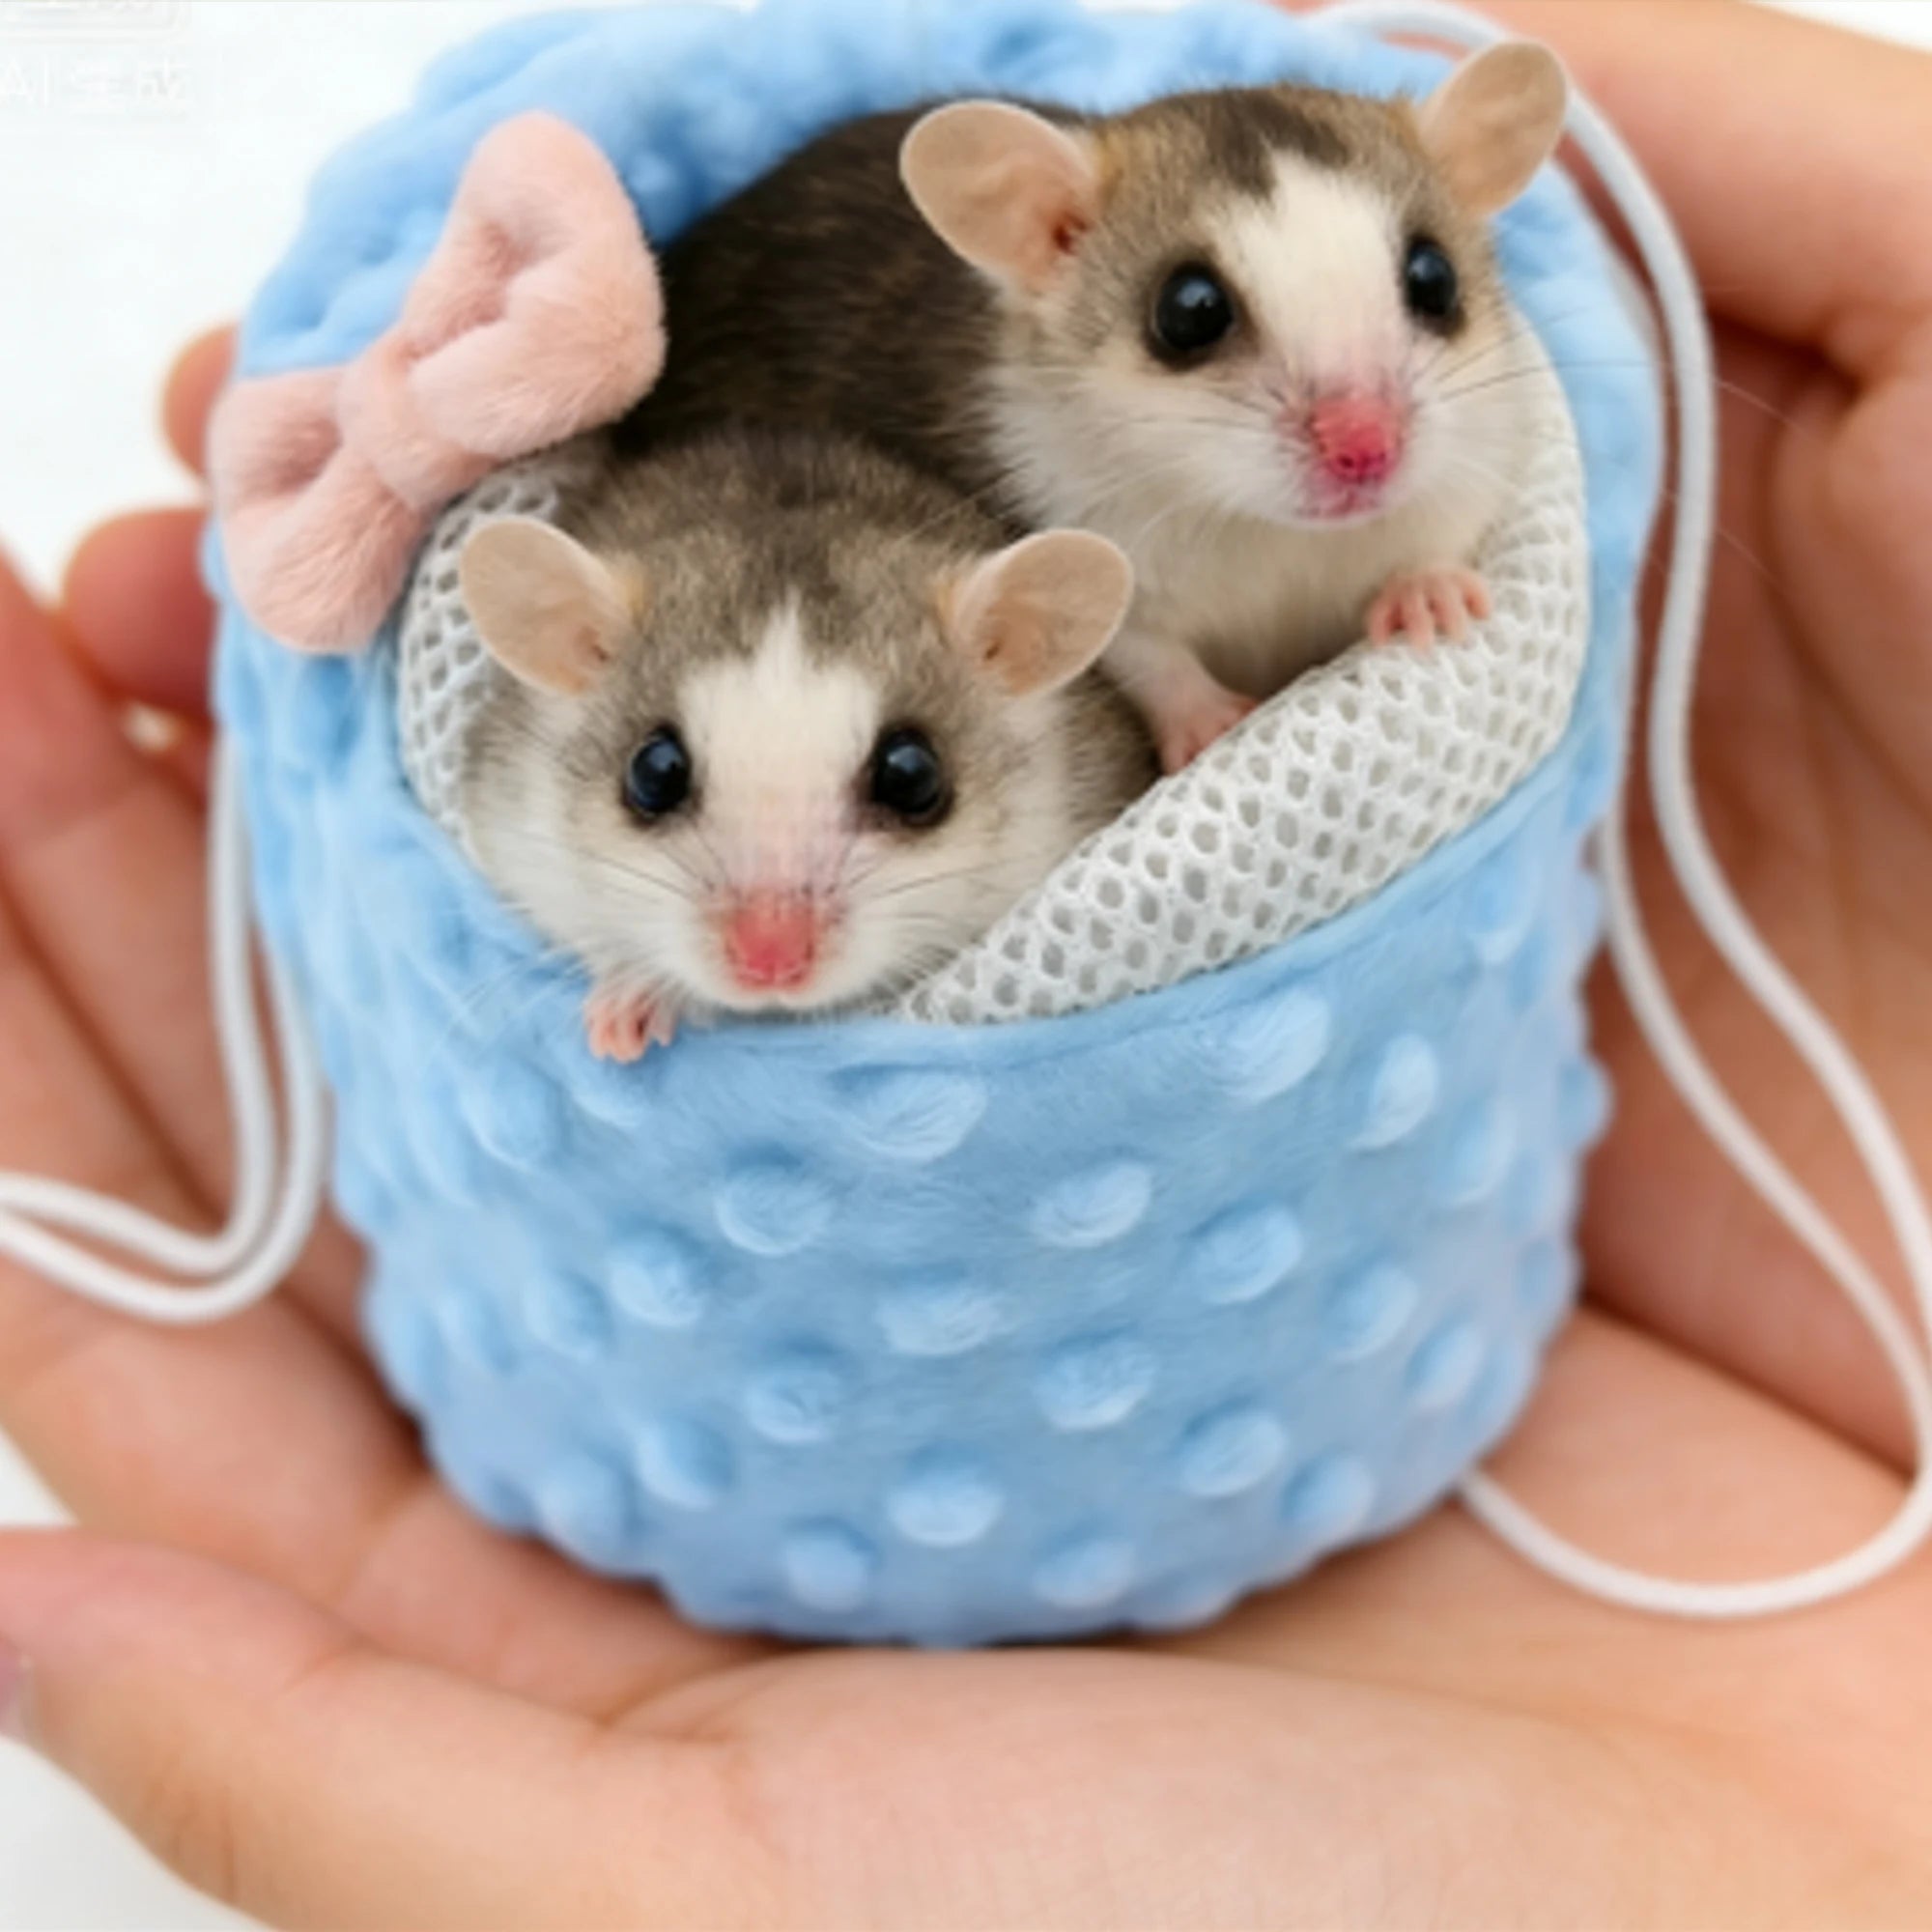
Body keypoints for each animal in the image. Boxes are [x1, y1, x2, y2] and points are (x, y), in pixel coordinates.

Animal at [618, 43, 1568, 773]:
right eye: (1190, 311)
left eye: (1434, 279)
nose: (1366, 448)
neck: (1264, 530)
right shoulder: (1063, 506)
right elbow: (1131, 644)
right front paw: (1205, 721)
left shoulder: (1471, 449)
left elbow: (1450, 522)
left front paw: (1429, 591)